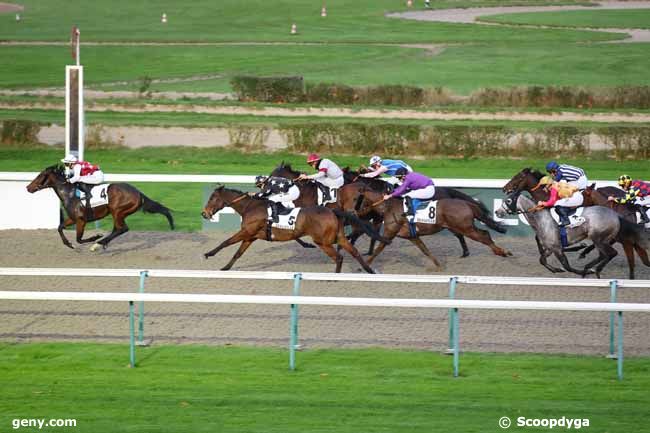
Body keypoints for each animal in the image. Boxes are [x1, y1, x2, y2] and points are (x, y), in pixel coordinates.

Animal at [26, 164, 173, 250]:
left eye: (40, 176)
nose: (28, 187)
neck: (69, 193)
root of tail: (138, 193)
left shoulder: (81, 220)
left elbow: (79, 239)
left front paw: (95, 237)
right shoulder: (73, 218)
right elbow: (60, 227)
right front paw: (69, 244)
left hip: (117, 210)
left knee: (122, 228)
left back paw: (99, 243)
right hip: (118, 213)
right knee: (118, 229)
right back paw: (103, 243)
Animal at [200, 184, 388, 272]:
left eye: (212, 198)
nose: (204, 213)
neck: (250, 207)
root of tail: (332, 211)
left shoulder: (246, 231)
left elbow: (226, 242)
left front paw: (208, 254)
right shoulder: (251, 236)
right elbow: (237, 253)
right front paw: (226, 268)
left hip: (323, 241)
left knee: (339, 257)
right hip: (338, 236)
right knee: (353, 252)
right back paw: (369, 270)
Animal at [352, 187, 508, 268]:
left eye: (356, 200)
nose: (354, 213)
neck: (389, 207)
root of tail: (467, 203)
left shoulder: (389, 234)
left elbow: (378, 249)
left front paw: (365, 265)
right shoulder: (412, 236)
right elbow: (425, 250)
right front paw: (438, 265)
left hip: (466, 228)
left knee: (484, 236)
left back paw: (502, 252)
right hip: (462, 227)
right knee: (483, 233)